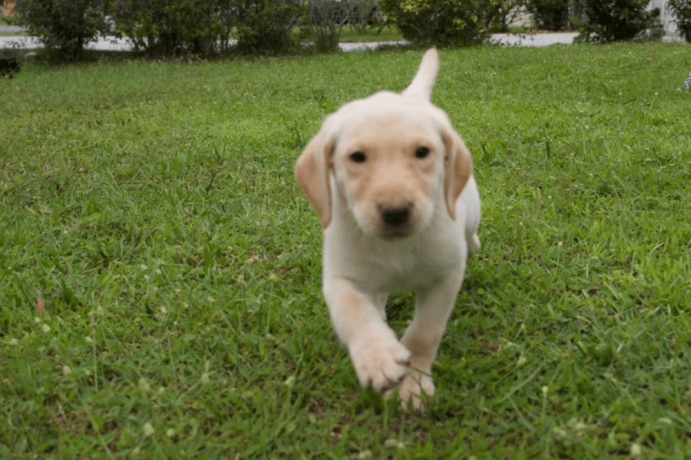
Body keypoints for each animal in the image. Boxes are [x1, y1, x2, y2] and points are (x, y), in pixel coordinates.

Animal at [296, 49, 482, 410]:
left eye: (422, 152)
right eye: (357, 157)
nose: (396, 212)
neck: (397, 246)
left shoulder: (446, 275)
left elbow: (425, 332)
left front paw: (414, 384)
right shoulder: (341, 277)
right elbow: (354, 312)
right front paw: (378, 357)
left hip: (470, 210)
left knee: (469, 231)